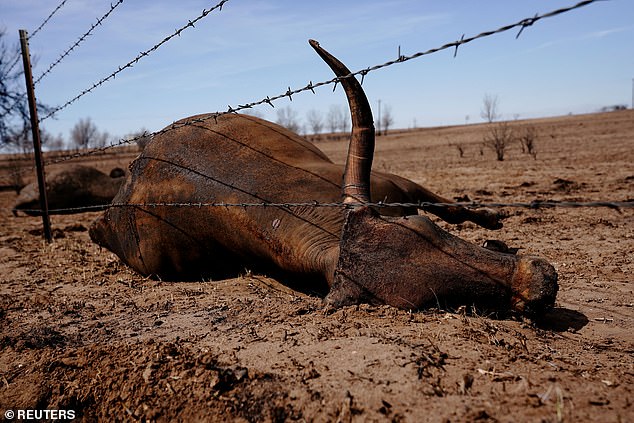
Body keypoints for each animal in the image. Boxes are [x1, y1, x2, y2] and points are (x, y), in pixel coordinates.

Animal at [87, 40, 552, 314]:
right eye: (430, 302)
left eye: (422, 228)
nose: (539, 282)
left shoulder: (396, 186)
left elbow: (449, 207)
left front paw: (493, 226)